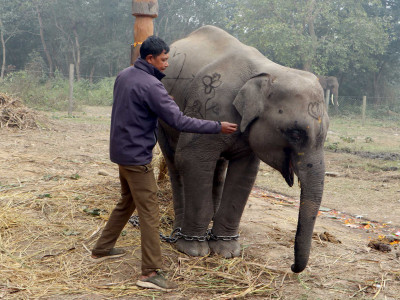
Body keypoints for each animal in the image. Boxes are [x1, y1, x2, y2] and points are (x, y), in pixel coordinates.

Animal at [158, 26, 330, 274]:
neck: (268, 70)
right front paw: (195, 251)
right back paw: (179, 233)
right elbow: (191, 160)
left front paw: (227, 251)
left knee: (217, 167)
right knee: (175, 162)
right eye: (296, 133)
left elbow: (244, 174)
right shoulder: (207, 106)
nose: (292, 266)